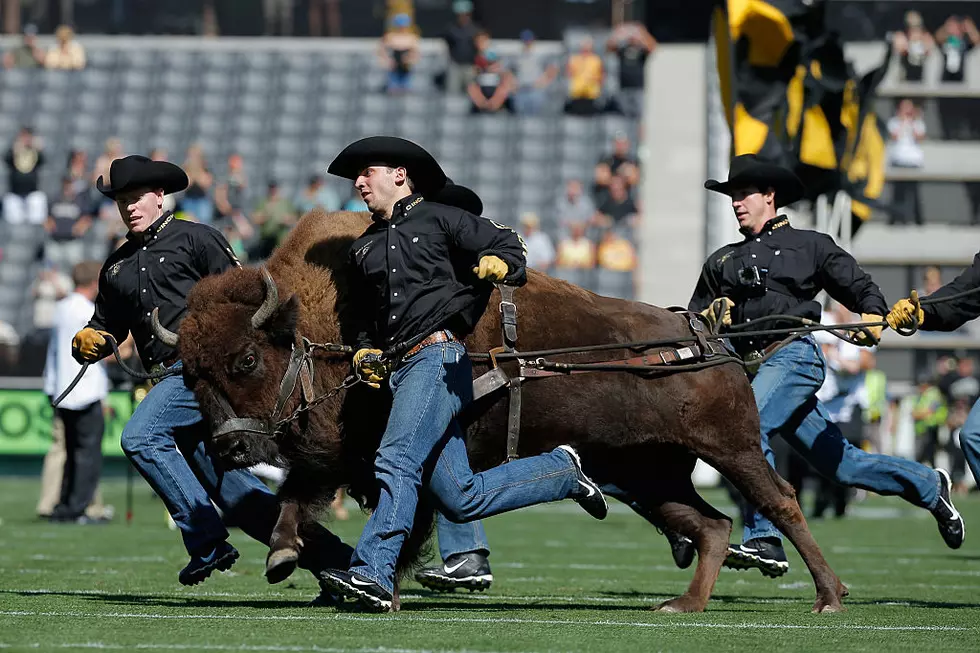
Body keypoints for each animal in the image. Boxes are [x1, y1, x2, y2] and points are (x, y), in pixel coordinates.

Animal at [172, 209, 848, 612]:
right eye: (190, 372)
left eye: (245, 360)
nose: (230, 446)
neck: (329, 329)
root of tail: (708, 336)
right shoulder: (344, 460)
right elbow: (300, 498)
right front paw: (292, 561)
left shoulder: (399, 458)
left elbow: (397, 512)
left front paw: (365, 584)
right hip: (646, 473)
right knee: (709, 525)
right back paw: (682, 604)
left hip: (731, 449)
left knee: (781, 502)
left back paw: (829, 595)